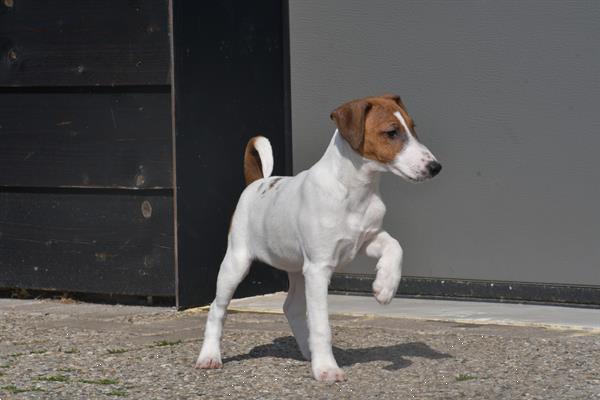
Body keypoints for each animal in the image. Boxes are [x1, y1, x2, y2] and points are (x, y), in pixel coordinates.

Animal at [196, 93, 440, 382]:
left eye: (413, 128)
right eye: (392, 132)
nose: (435, 167)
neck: (355, 190)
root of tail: (256, 184)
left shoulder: (366, 240)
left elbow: (395, 246)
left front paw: (385, 287)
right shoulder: (319, 268)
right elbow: (322, 324)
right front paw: (326, 369)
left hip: (297, 270)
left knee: (291, 308)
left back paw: (308, 350)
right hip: (237, 263)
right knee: (217, 309)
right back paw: (210, 356)